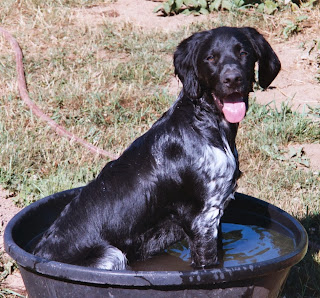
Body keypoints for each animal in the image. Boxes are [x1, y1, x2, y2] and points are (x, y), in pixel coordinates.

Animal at [33, 26, 280, 270]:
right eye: (210, 58)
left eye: (243, 53)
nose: (232, 78)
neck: (204, 121)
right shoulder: (203, 219)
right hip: (111, 255)